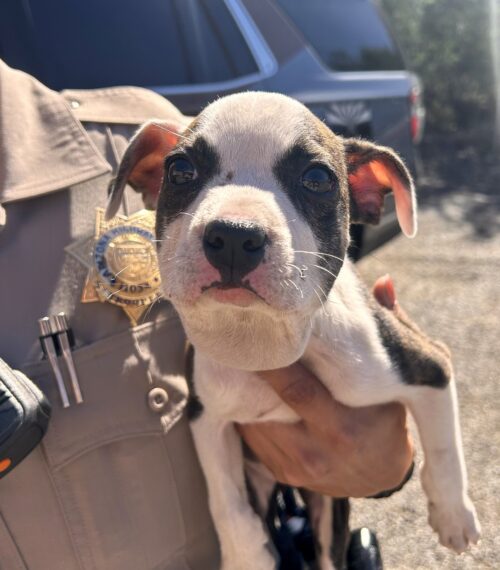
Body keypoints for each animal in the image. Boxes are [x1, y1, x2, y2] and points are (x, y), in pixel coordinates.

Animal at [106, 92, 480, 569]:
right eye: (181, 171)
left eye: (317, 178)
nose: (233, 234)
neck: (260, 338)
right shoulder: (206, 416)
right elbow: (224, 498)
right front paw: (245, 553)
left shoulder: (426, 363)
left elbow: (444, 446)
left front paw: (453, 516)